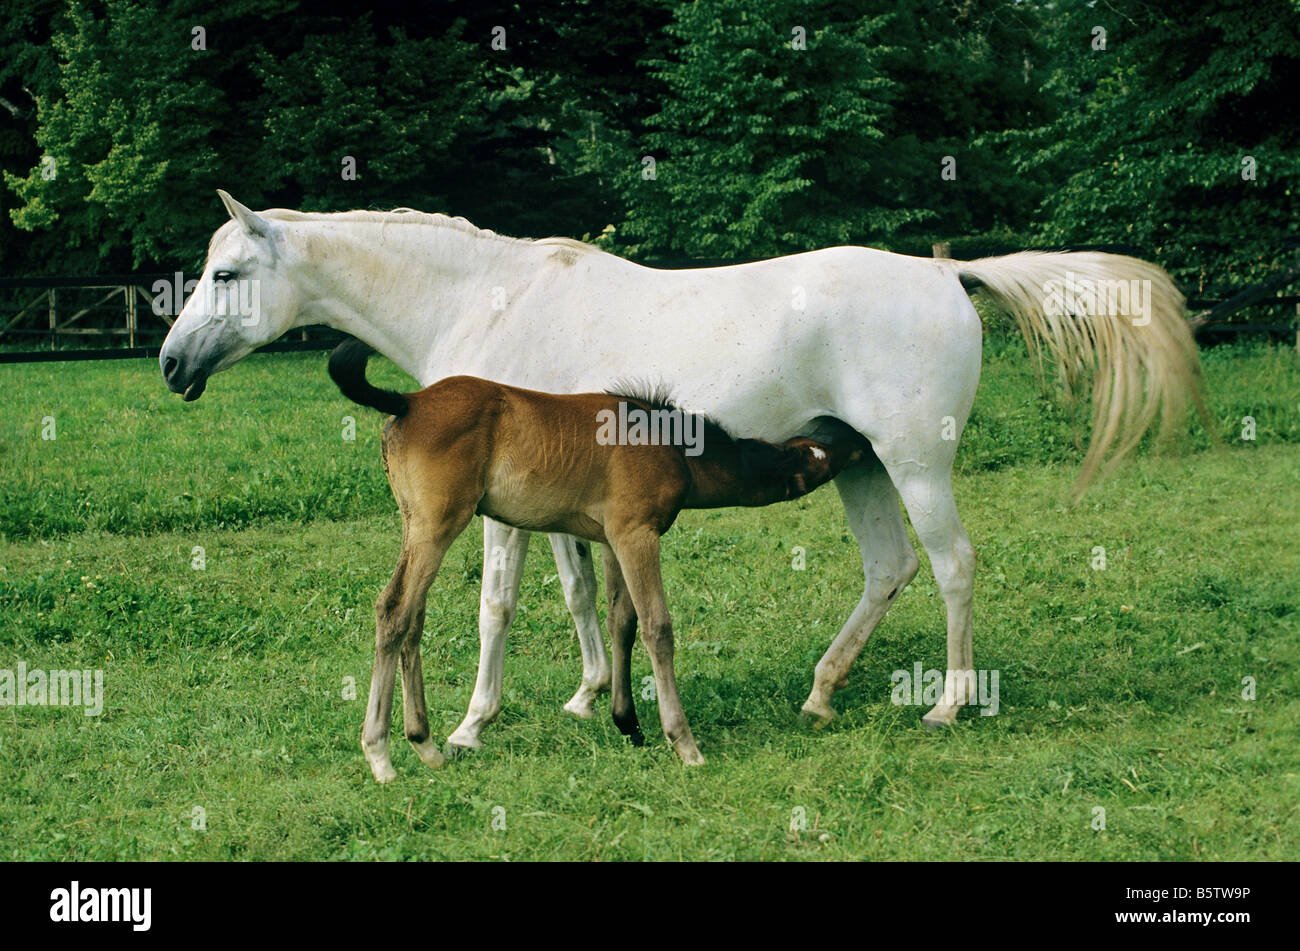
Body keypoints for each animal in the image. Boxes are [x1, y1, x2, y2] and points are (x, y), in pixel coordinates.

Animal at [327, 337, 865, 780]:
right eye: (818, 456)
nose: (856, 440)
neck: (670, 445)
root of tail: (408, 401)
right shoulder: (636, 534)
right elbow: (657, 627)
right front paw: (682, 742)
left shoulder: (610, 539)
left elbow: (620, 620)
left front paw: (628, 723)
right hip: (437, 525)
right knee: (394, 609)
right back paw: (381, 755)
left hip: (419, 527)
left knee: (412, 618)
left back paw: (426, 746)